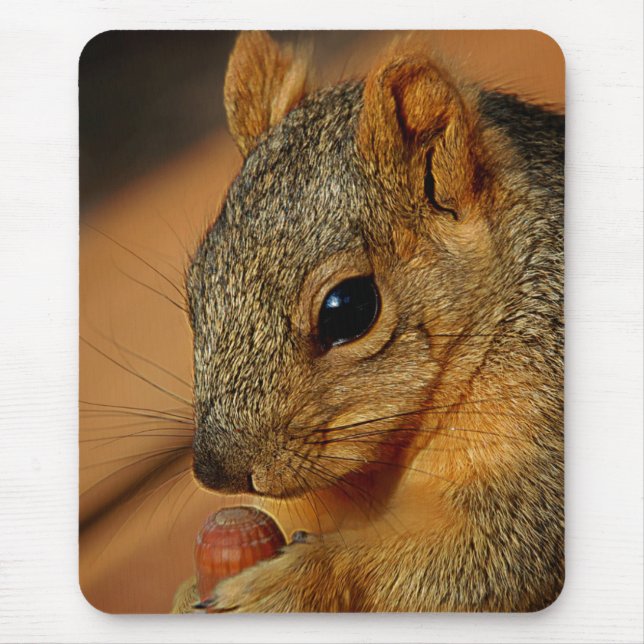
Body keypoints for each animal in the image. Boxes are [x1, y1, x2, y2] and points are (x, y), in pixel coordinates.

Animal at [172, 31, 564, 613]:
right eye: (196, 287)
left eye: (350, 308)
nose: (217, 474)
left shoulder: (542, 434)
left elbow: (492, 558)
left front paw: (285, 584)